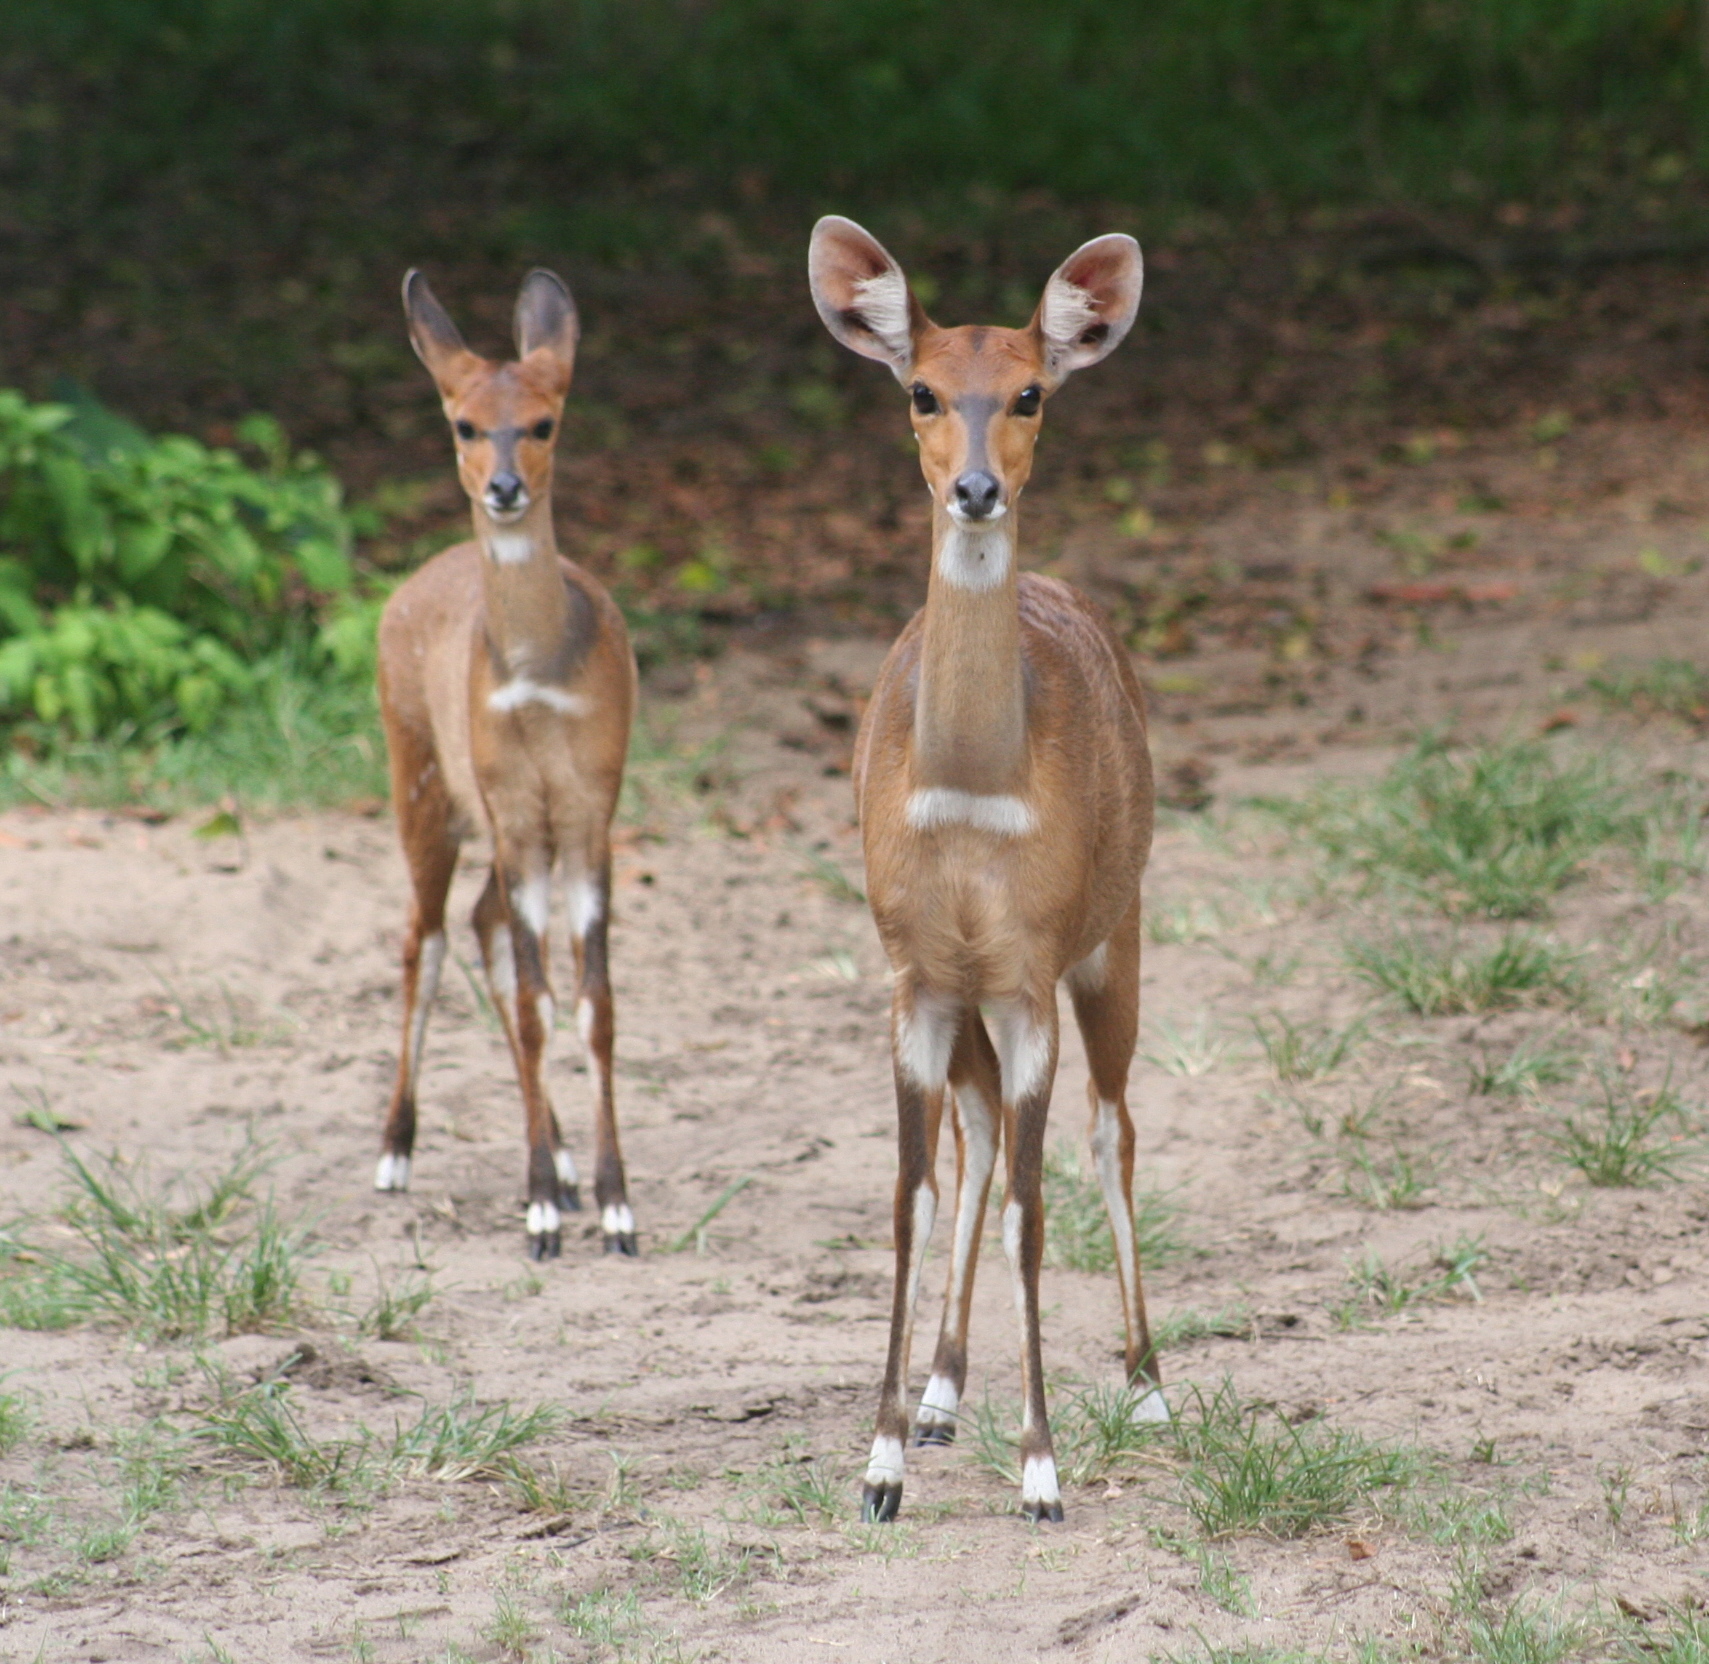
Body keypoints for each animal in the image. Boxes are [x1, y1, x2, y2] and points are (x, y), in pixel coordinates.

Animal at [374, 269, 642, 1264]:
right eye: (462, 422)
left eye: (542, 421)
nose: (503, 489)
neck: (539, 675)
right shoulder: (521, 811)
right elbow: (537, 1002)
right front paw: (539, 1215)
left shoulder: (590, 811)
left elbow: (591, 1003)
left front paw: (613, 1206)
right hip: (420, 780)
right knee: (425, 937)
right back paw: (396, 1153)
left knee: (481, 926)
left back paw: (560, 1166)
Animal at [810, 217, 1162, 1523]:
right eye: (918, 389)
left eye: (1027, 392)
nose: (974, 486)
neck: (966, 793)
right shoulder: (916, 975)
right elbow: (910, 1198)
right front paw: (880, 1462)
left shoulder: (1025, 974)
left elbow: (1029, 1203)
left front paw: (1043, 1473)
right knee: (969, 1138)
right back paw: (941, 1392)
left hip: (1116, 934)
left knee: (1110, 1128)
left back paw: (1150, 1384)